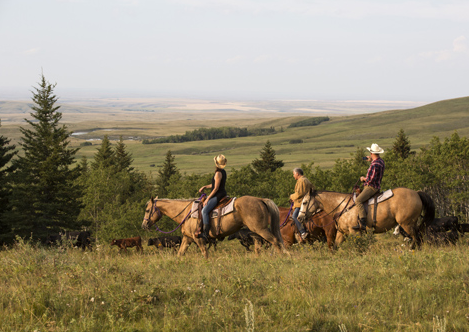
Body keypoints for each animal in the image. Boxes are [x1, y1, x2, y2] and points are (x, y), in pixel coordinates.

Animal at [141, 196, 288, 258]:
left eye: (147, 210)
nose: (144, 225)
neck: (187, 213)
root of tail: (260, 199)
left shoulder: (199, 239)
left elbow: (205, 253)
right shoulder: (187, 239)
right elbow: (180, 253)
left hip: (260, 229)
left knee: (275, 241)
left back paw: (281, 257)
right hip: (255, 231)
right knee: (259, 244)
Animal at [298, 188, 434, 248]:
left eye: (304, 202)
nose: (299, 218)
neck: (342, 207)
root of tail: (416, 193)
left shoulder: (355, 232)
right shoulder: (342, 232)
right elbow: (336, 246)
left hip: (407, 224)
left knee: (416, 239)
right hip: (411, 224)